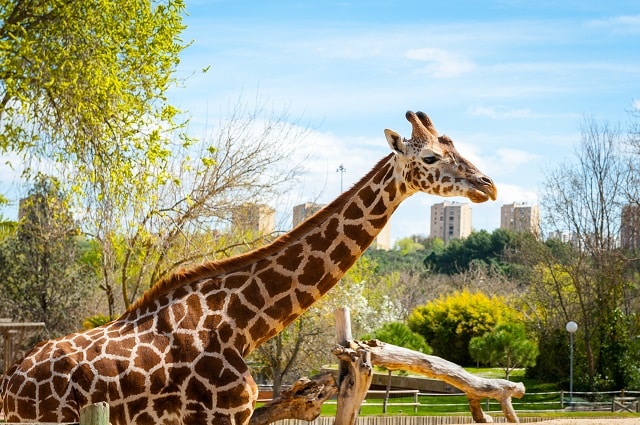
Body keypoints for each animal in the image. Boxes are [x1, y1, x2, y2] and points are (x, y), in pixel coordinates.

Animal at [0, 111, 498, 422]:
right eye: (430, 156)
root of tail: (10, 381)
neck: (241, 322)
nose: (487, 185)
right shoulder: (220, 416)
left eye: (455, 145)